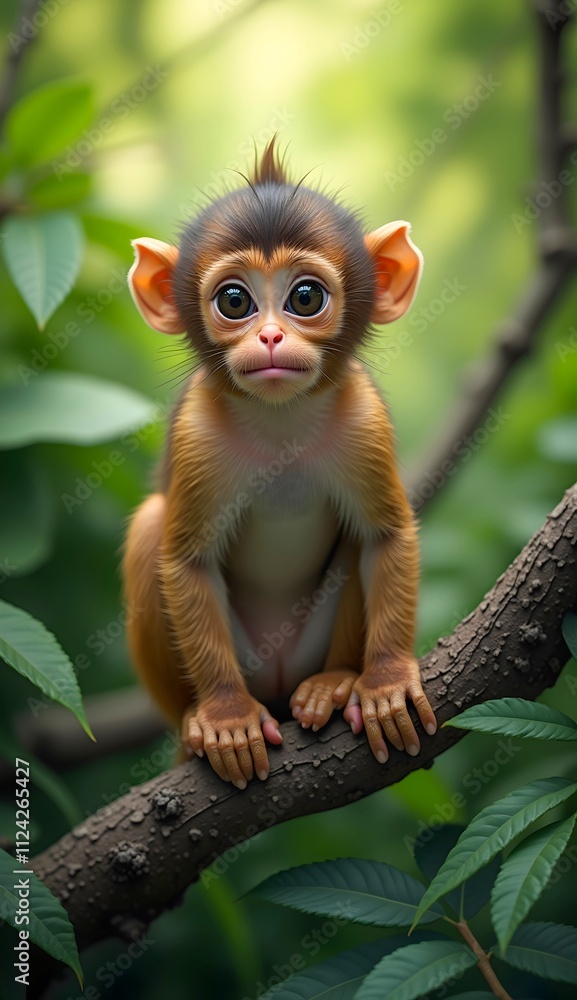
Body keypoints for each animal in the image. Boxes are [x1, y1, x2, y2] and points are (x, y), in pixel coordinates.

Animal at [123, 139, 437, 789]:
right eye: (235, 300)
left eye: (306, 297)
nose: (269, 337)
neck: (281, 422)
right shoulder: (196, 432)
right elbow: (185, 562)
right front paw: (225, 717)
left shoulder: (363, 416)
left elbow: (386, 536)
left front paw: (387, 680)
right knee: (148, 528)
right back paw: (195, 722)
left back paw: (333, 684)